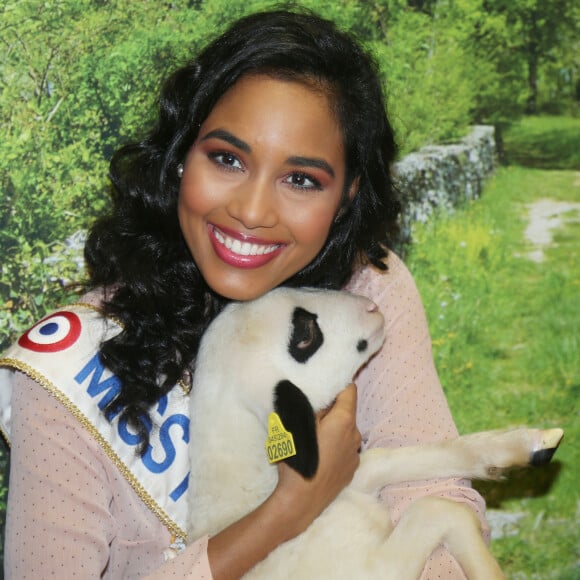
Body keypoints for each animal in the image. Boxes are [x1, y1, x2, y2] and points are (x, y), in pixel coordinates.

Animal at [187, 288, 560, 580]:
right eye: (305, 335)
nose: (370, 306)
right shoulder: (375, 569)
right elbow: (438, 510)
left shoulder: (356, 473)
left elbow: (416, 456)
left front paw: (529, 444)